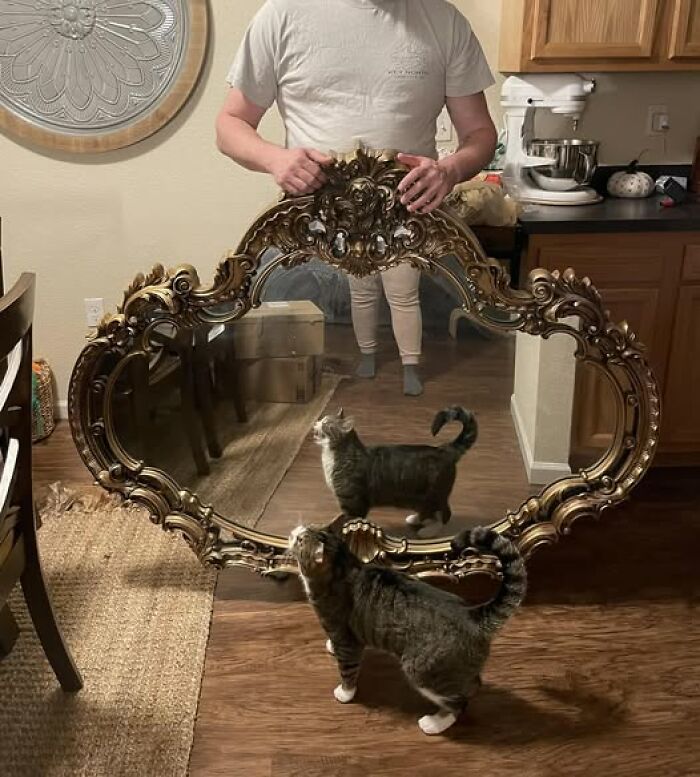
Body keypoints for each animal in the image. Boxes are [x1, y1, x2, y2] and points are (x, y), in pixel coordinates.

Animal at [288, 520, 524, 732]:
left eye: (300, 540)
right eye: (303, 529)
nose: (293, 531)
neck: (343, 567)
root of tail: (473, 614)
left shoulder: (346, 640)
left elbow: (348, 670)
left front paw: (345, 693)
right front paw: (330, 645)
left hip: (422, 670)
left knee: (459, 702)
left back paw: (434, 723)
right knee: (474, 684)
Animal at [314, 410, 478, 532]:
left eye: (326, 423)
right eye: (322, 419)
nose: (316, 421)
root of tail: (444, 450)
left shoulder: (354, 502)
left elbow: (351, 521)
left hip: (433, 496)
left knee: (444, 513)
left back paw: (428, 531)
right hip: (418, 499)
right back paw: (416, 519)